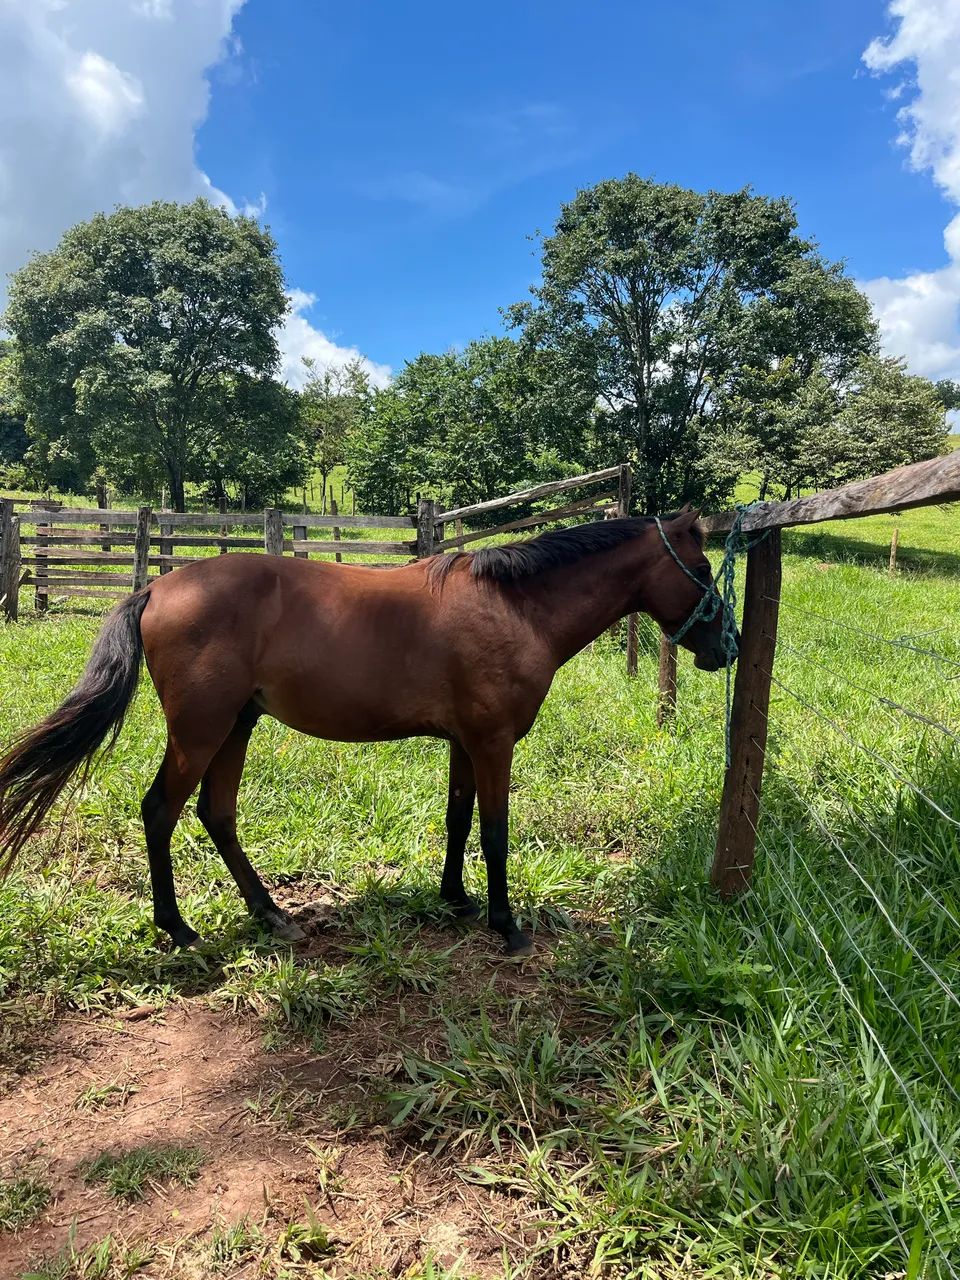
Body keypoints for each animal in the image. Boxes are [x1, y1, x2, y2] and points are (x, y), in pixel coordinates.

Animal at [0, 509, 734, 957]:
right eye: (701, 570)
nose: (724, 647)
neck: (514, 608)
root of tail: (155, 589)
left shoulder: (465, 742)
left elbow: (459, 818)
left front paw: (456, 899)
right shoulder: (493, 742)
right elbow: (495, 831)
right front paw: (506, 925)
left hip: (236, 725)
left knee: (217, 813)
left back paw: (270, 912)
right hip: (201, 730)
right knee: (161, 811)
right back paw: (178, 928)